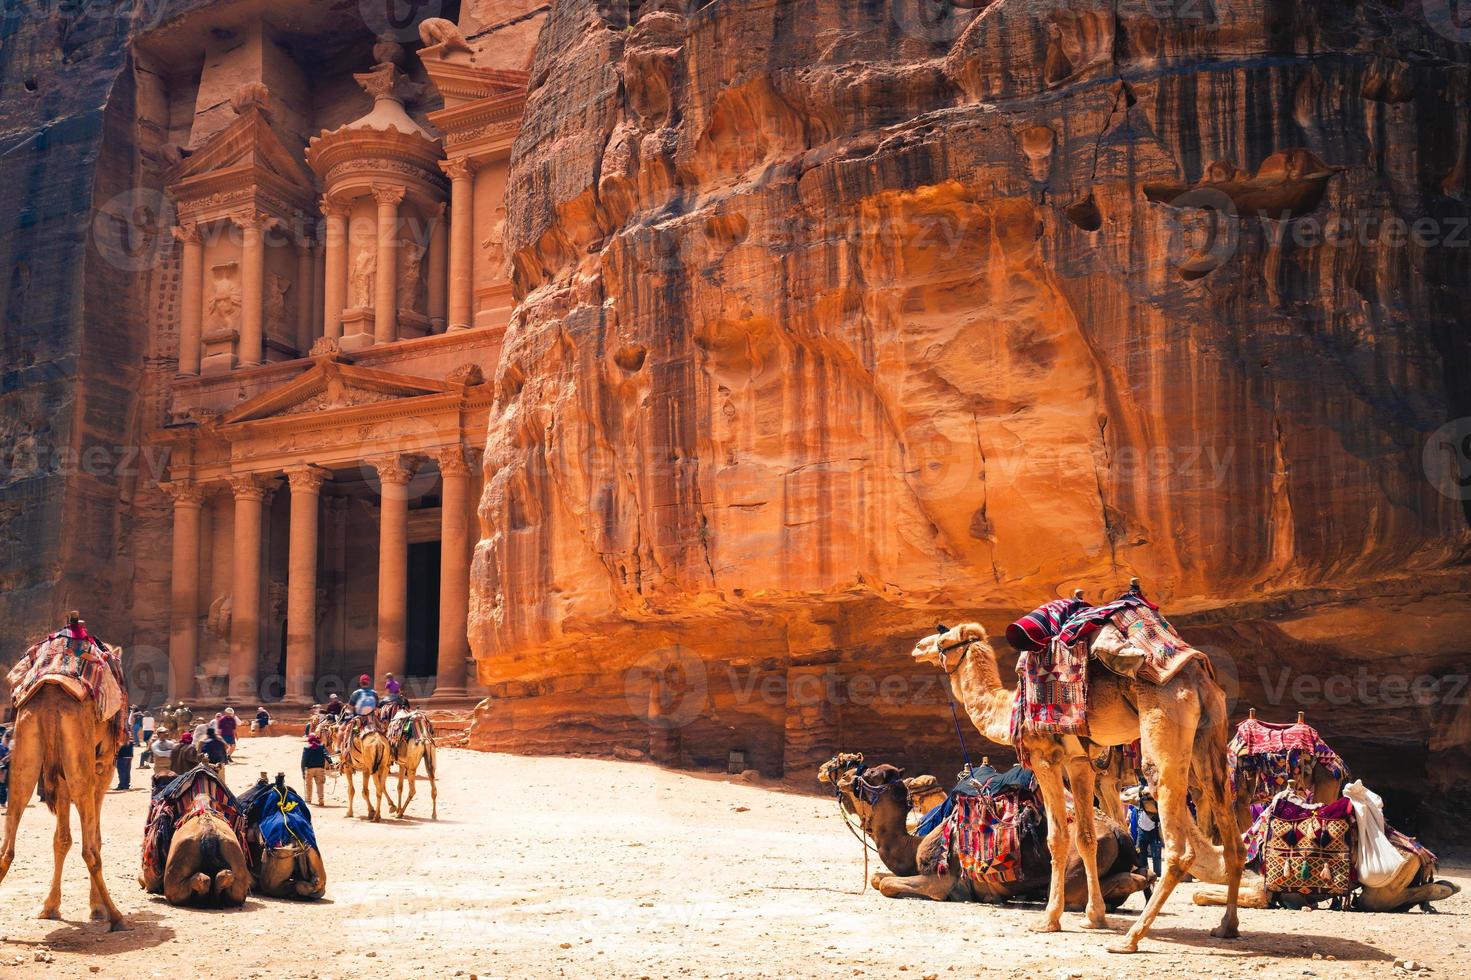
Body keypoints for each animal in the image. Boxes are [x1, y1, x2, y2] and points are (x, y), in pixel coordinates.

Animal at [0, 676, 127, 929]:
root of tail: (50, 704)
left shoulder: (60, 777)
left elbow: (61, 839)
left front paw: (50, 907)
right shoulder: (104, 767)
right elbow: (96, 839)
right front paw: (96, 909)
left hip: (25, 752)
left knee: (6, 848)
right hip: (81, 761)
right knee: (90, 852)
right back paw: (115, 915)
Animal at [817, 750, 1147, 906]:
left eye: (869, 773)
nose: (839, 774)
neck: (914, 844)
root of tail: (1120, 833)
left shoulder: (940, 881)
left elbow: (885, 884)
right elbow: (877, 878)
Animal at [912, 618, 1247, 947]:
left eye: (943, 641)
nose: (917, 647)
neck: (1009, 710)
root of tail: (1195, 673)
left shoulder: (1045, 758)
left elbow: (1058, 838)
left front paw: (1049, 919)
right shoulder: (1080, 764)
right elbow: (1086, 838)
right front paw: (1094, 916)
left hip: (1164, 724)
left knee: (1178, 847)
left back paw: (1131, 937)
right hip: (1211, 736)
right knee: (1232, 836)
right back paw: (1226, 926)